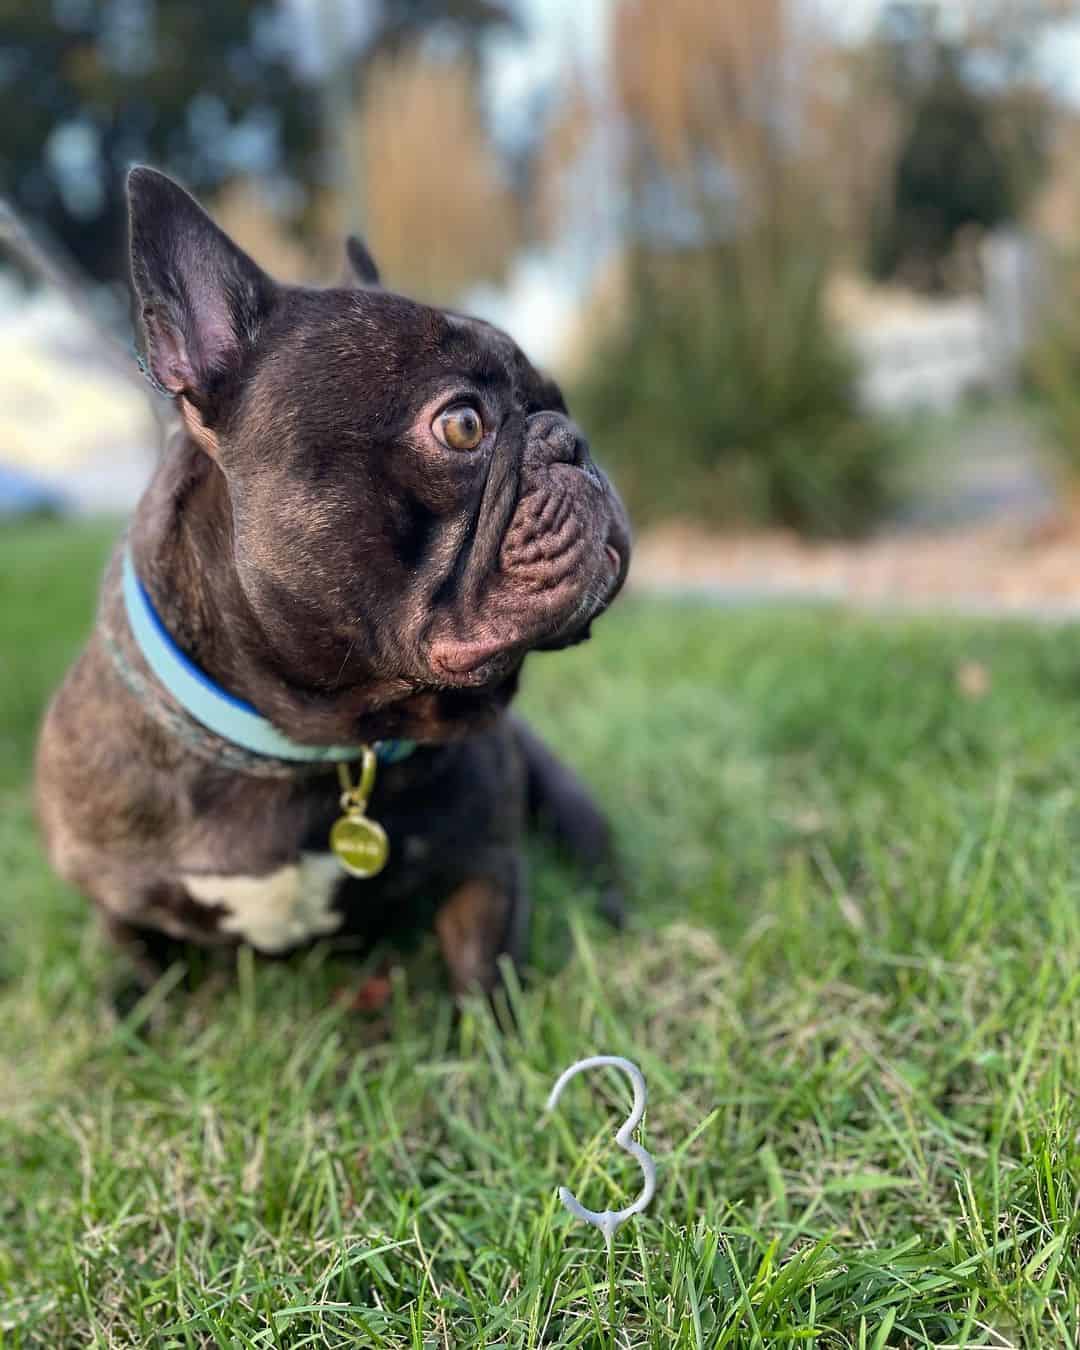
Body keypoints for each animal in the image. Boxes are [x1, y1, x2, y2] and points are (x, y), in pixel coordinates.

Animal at [35, 166, 631, 993]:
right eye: (463, 425)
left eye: (560, 403)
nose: (573, 442)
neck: (316, 744)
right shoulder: (114, 898)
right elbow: (134, 965)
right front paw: (132, 1014)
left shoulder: (487, 861)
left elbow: (485, 971)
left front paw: (492, 1024)